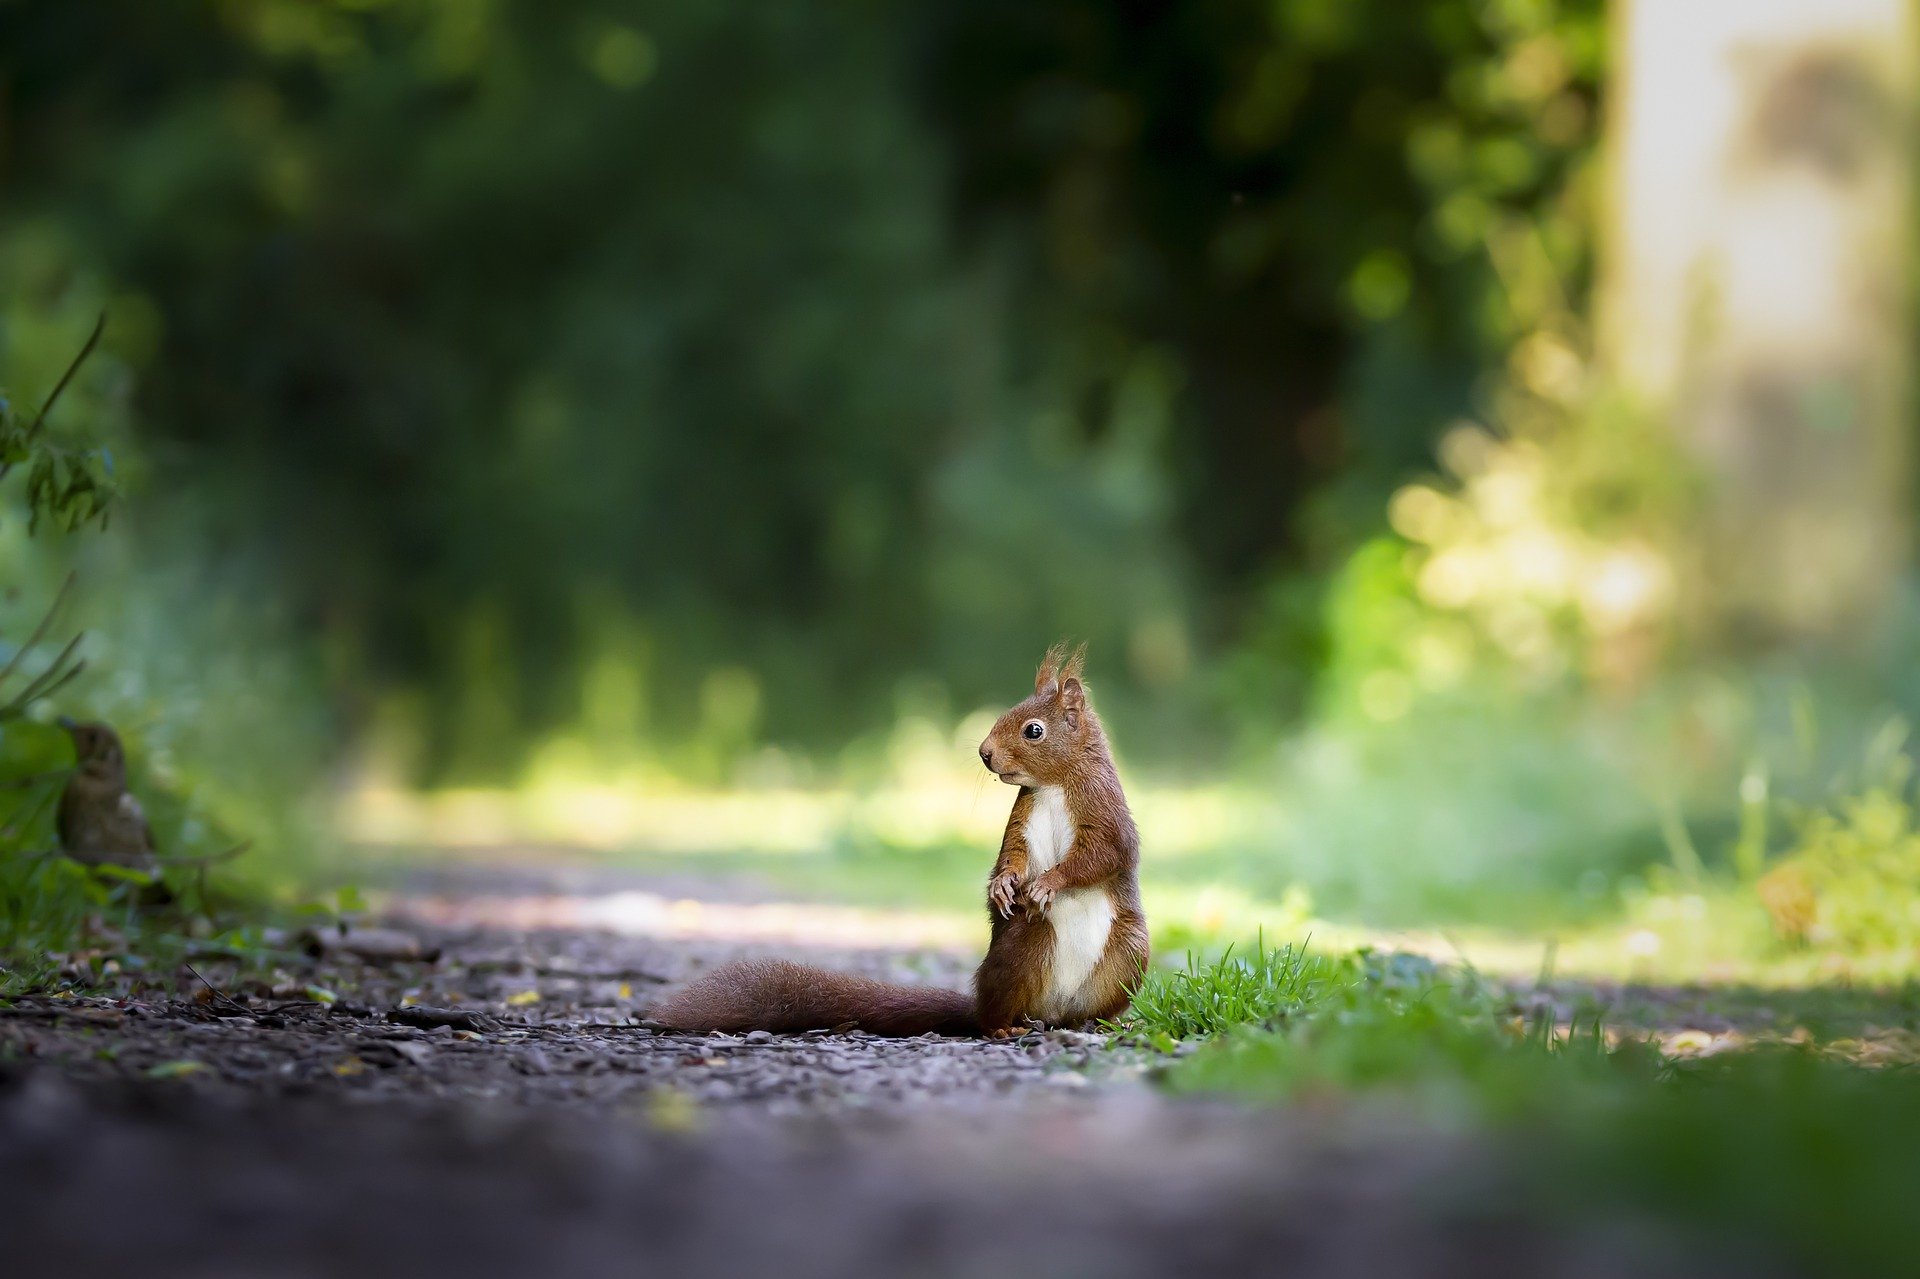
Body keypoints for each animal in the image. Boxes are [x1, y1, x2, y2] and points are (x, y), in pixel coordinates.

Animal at [652, 649, 1144, 1037]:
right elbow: (1013, 856)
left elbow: (1103, 854)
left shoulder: (1104, 810)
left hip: (1129, 953)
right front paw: (1004, 885)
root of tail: (1052, 1011)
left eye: (1034, 730)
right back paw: (1004, 1026)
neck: (1054, 784)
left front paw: (1048, 883)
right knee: (997, 1008)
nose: (984, 753)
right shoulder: (1022, 817)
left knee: (1089, 1005)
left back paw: (1098, 1022)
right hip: (1025, 946)